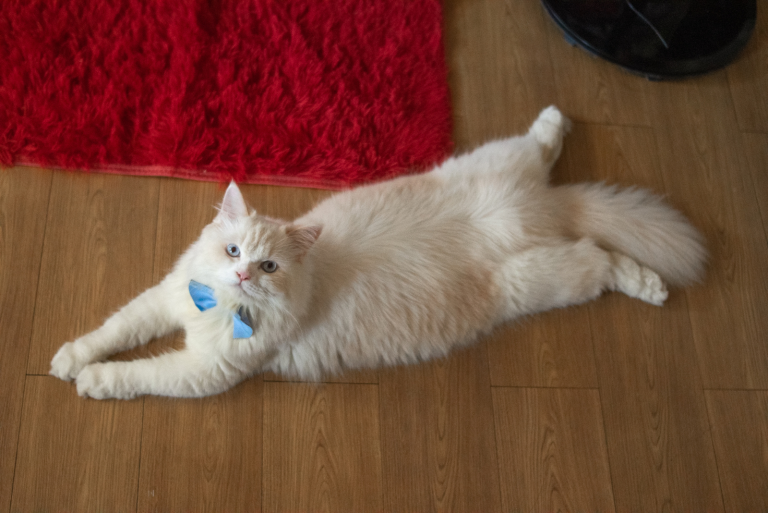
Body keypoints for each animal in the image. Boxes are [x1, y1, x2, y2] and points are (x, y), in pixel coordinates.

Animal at [51, 106, 704, 398]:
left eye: (268, 267)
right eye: (232, 249)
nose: (240, 276)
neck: (219, 312)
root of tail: (546, 207)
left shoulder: (201, 371)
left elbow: (136, 371)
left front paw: (92, 380)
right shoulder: (169, 299)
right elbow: (111, 330)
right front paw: (67, 360)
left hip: (547, 277)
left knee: (605, 259)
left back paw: (651, 286)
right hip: (497, 164)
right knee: (542, 146)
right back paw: (555, 119)